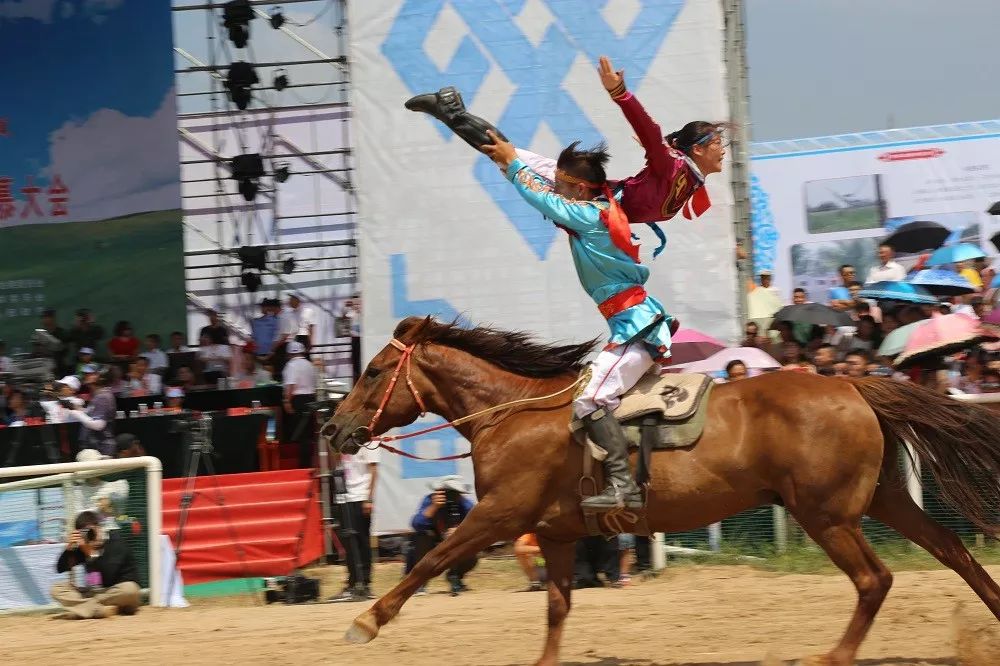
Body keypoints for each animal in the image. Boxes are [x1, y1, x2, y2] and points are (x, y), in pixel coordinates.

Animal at [326, 318, 1000, 664]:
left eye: (375, 371)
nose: (334, 429)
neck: (510, 414)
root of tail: (853, 385)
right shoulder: (556, 535)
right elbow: (557, 607)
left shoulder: (498, 514)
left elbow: (430, 561)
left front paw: (365, 622)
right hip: (884, 500)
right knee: (954, 552)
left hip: (828, 517)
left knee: (874, 581)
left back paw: (833, 657)